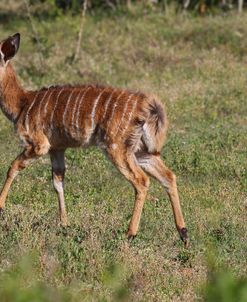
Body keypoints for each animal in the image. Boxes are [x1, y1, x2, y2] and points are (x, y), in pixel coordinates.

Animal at [0, 33, 189, 245]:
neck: (22, 104)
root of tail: (149, 105)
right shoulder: (57, 148)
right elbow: (58, 181)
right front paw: (64, 223)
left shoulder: (38, 145)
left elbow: (13, 167)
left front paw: (1, 208)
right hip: (141, 151)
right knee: (168, 176)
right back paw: (184, 234)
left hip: (116, 147)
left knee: (142, 181)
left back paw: (130, 234)